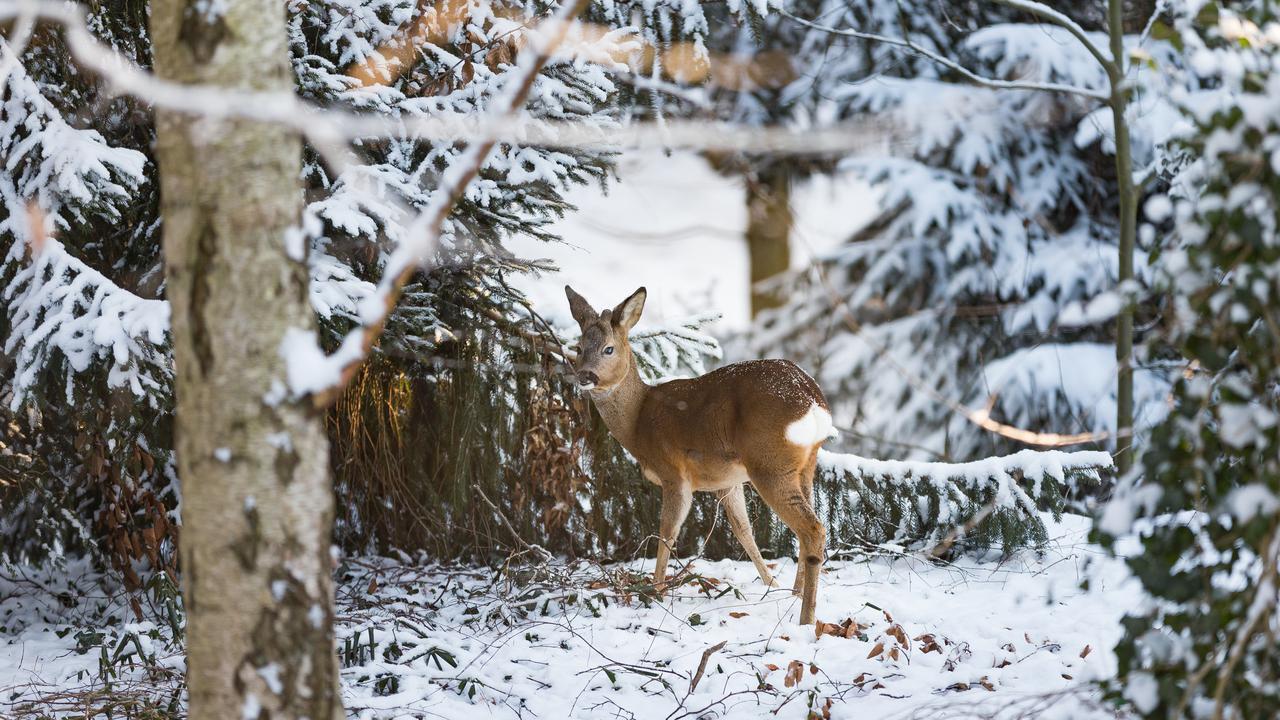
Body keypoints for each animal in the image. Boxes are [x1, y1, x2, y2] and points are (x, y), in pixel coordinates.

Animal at [565, 284, 834, 622]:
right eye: (578, 347)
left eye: (609, 349)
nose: (585, 376)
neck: (637, 421)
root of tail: (812, 399)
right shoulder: (726, 479)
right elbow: (743, 530)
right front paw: (771, 585)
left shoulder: (673, 471)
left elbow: (667, 531)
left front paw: (655, 591)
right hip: (805, 464)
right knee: (807, 527)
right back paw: (795, 594)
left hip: (770, 463)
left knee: (813, 529)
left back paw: (806, 618)